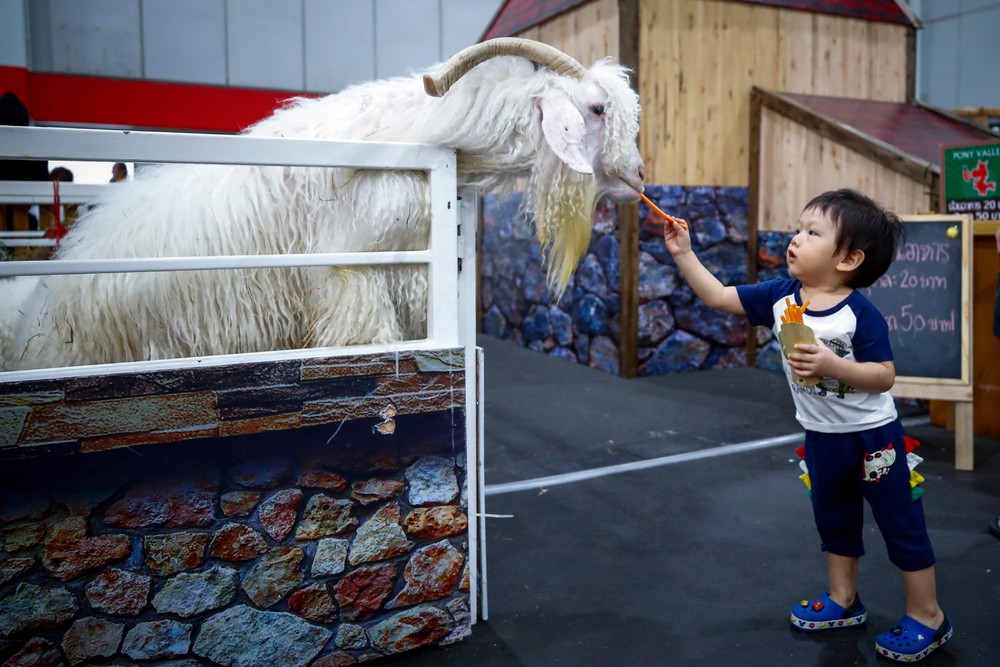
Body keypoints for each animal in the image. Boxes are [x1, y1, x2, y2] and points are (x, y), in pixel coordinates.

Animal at [3, 37, 644, 370]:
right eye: (597, 109)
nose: (638, 176)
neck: (421, 138)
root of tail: (38, 312)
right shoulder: (351, 274)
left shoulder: (413, 278)